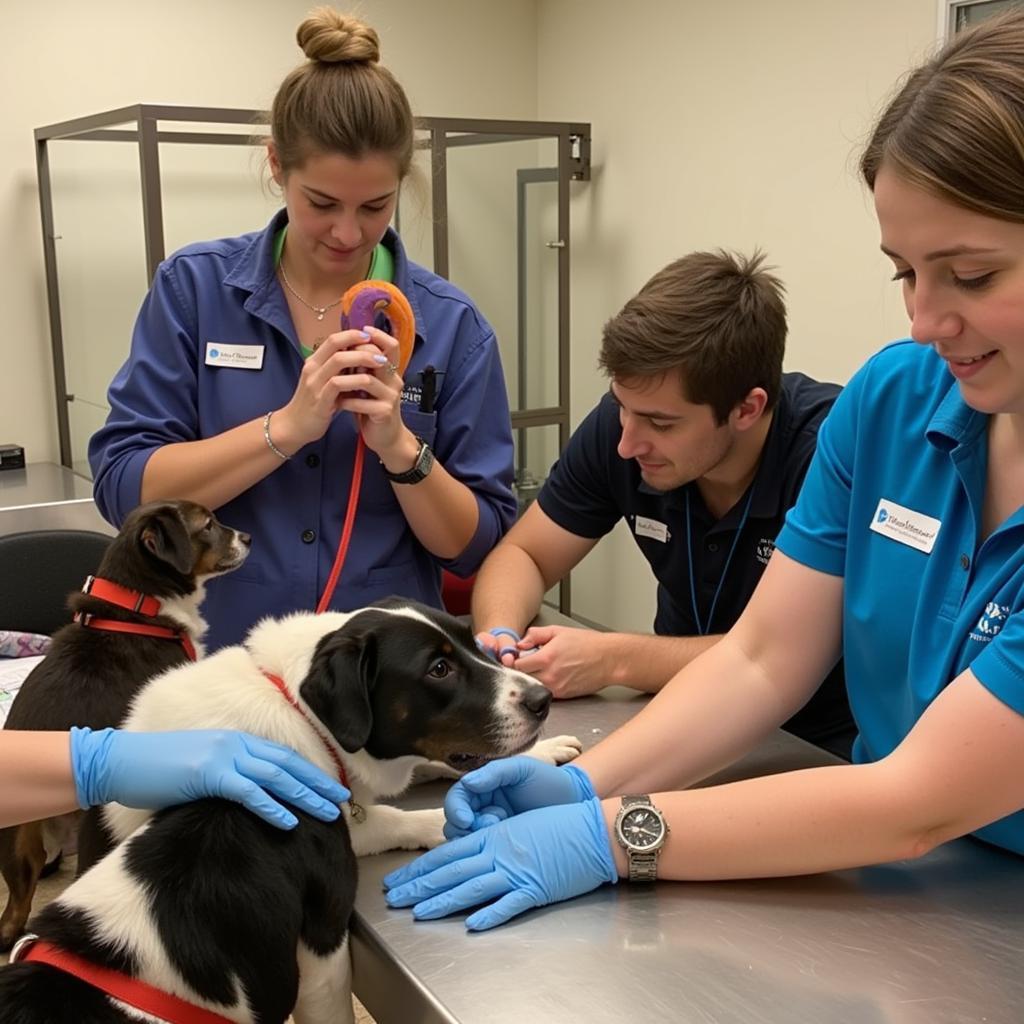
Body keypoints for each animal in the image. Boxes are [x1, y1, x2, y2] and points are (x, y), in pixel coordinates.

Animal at [0, 598, 581, 1024]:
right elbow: (398, 817)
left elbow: (431, 766)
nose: (541, 699)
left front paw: (540, 759)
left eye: (473, 642)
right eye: (439, 668)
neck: (298, 708)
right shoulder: (323, 814)